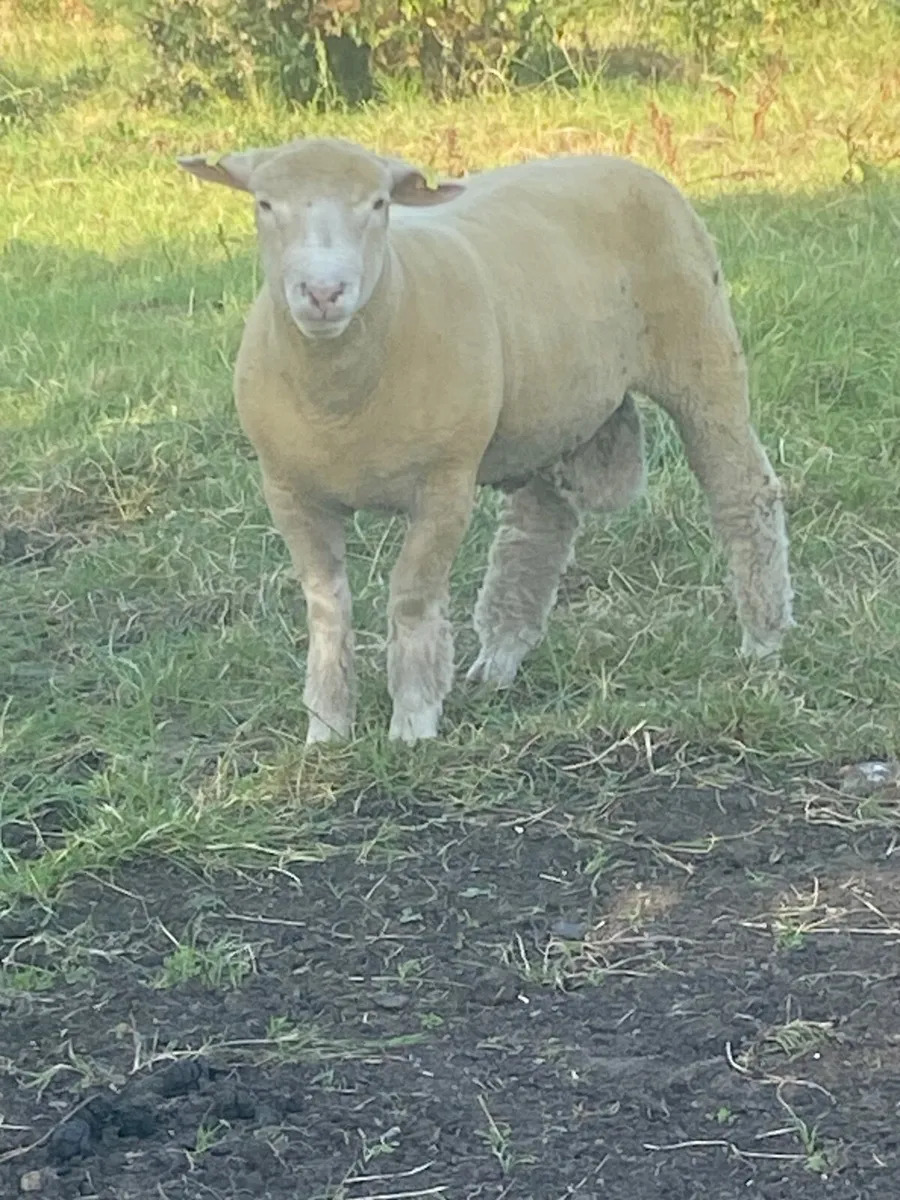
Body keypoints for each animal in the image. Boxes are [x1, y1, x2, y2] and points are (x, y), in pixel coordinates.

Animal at [177, 136, 794, 745]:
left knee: (742, 492)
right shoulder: (288, 492)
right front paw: (327, 727)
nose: (324, 292)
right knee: (538, 530)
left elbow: (412, 598)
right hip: (547, 413)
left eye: (378, 203)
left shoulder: (444, 485)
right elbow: (328, 608)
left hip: (702, 356)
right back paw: (498, 660)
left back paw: (764, 639)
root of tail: (614, 158)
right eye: (264, 204)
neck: (340, 402)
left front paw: (413, 721)